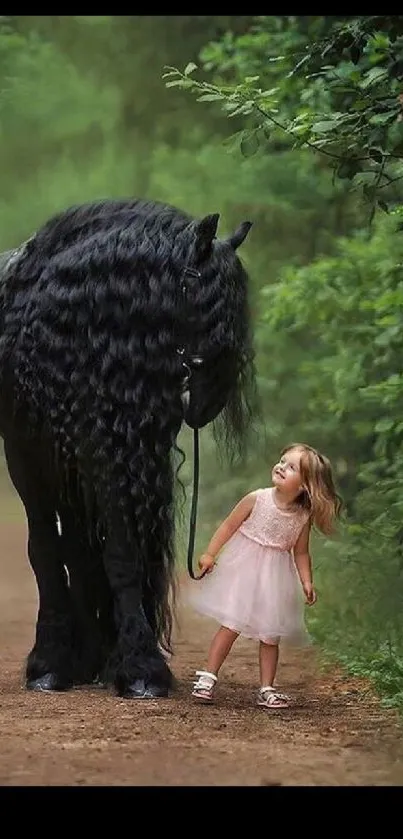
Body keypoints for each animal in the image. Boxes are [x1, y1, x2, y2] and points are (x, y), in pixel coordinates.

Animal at [0, 197, 256, 696]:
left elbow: (121, 554)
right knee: (64, 548)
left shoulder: (125, 451)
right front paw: (54, 663)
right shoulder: (33, 452)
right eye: (194, 286)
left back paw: (92, 656)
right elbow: (49, 551)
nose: (210, 399)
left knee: (80, 550)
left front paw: (134, 664)